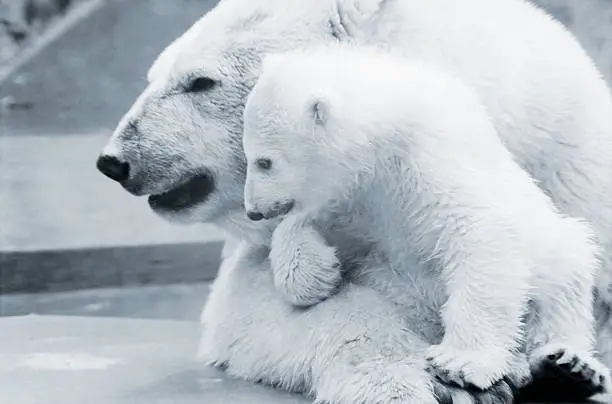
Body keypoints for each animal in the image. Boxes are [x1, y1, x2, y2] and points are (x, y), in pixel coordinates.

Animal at [98, 0, 608, 400]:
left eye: (201, 81)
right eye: (153, 75)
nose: (113, 161)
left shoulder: (569, 177)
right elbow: (257, 305)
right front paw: (420, 381)